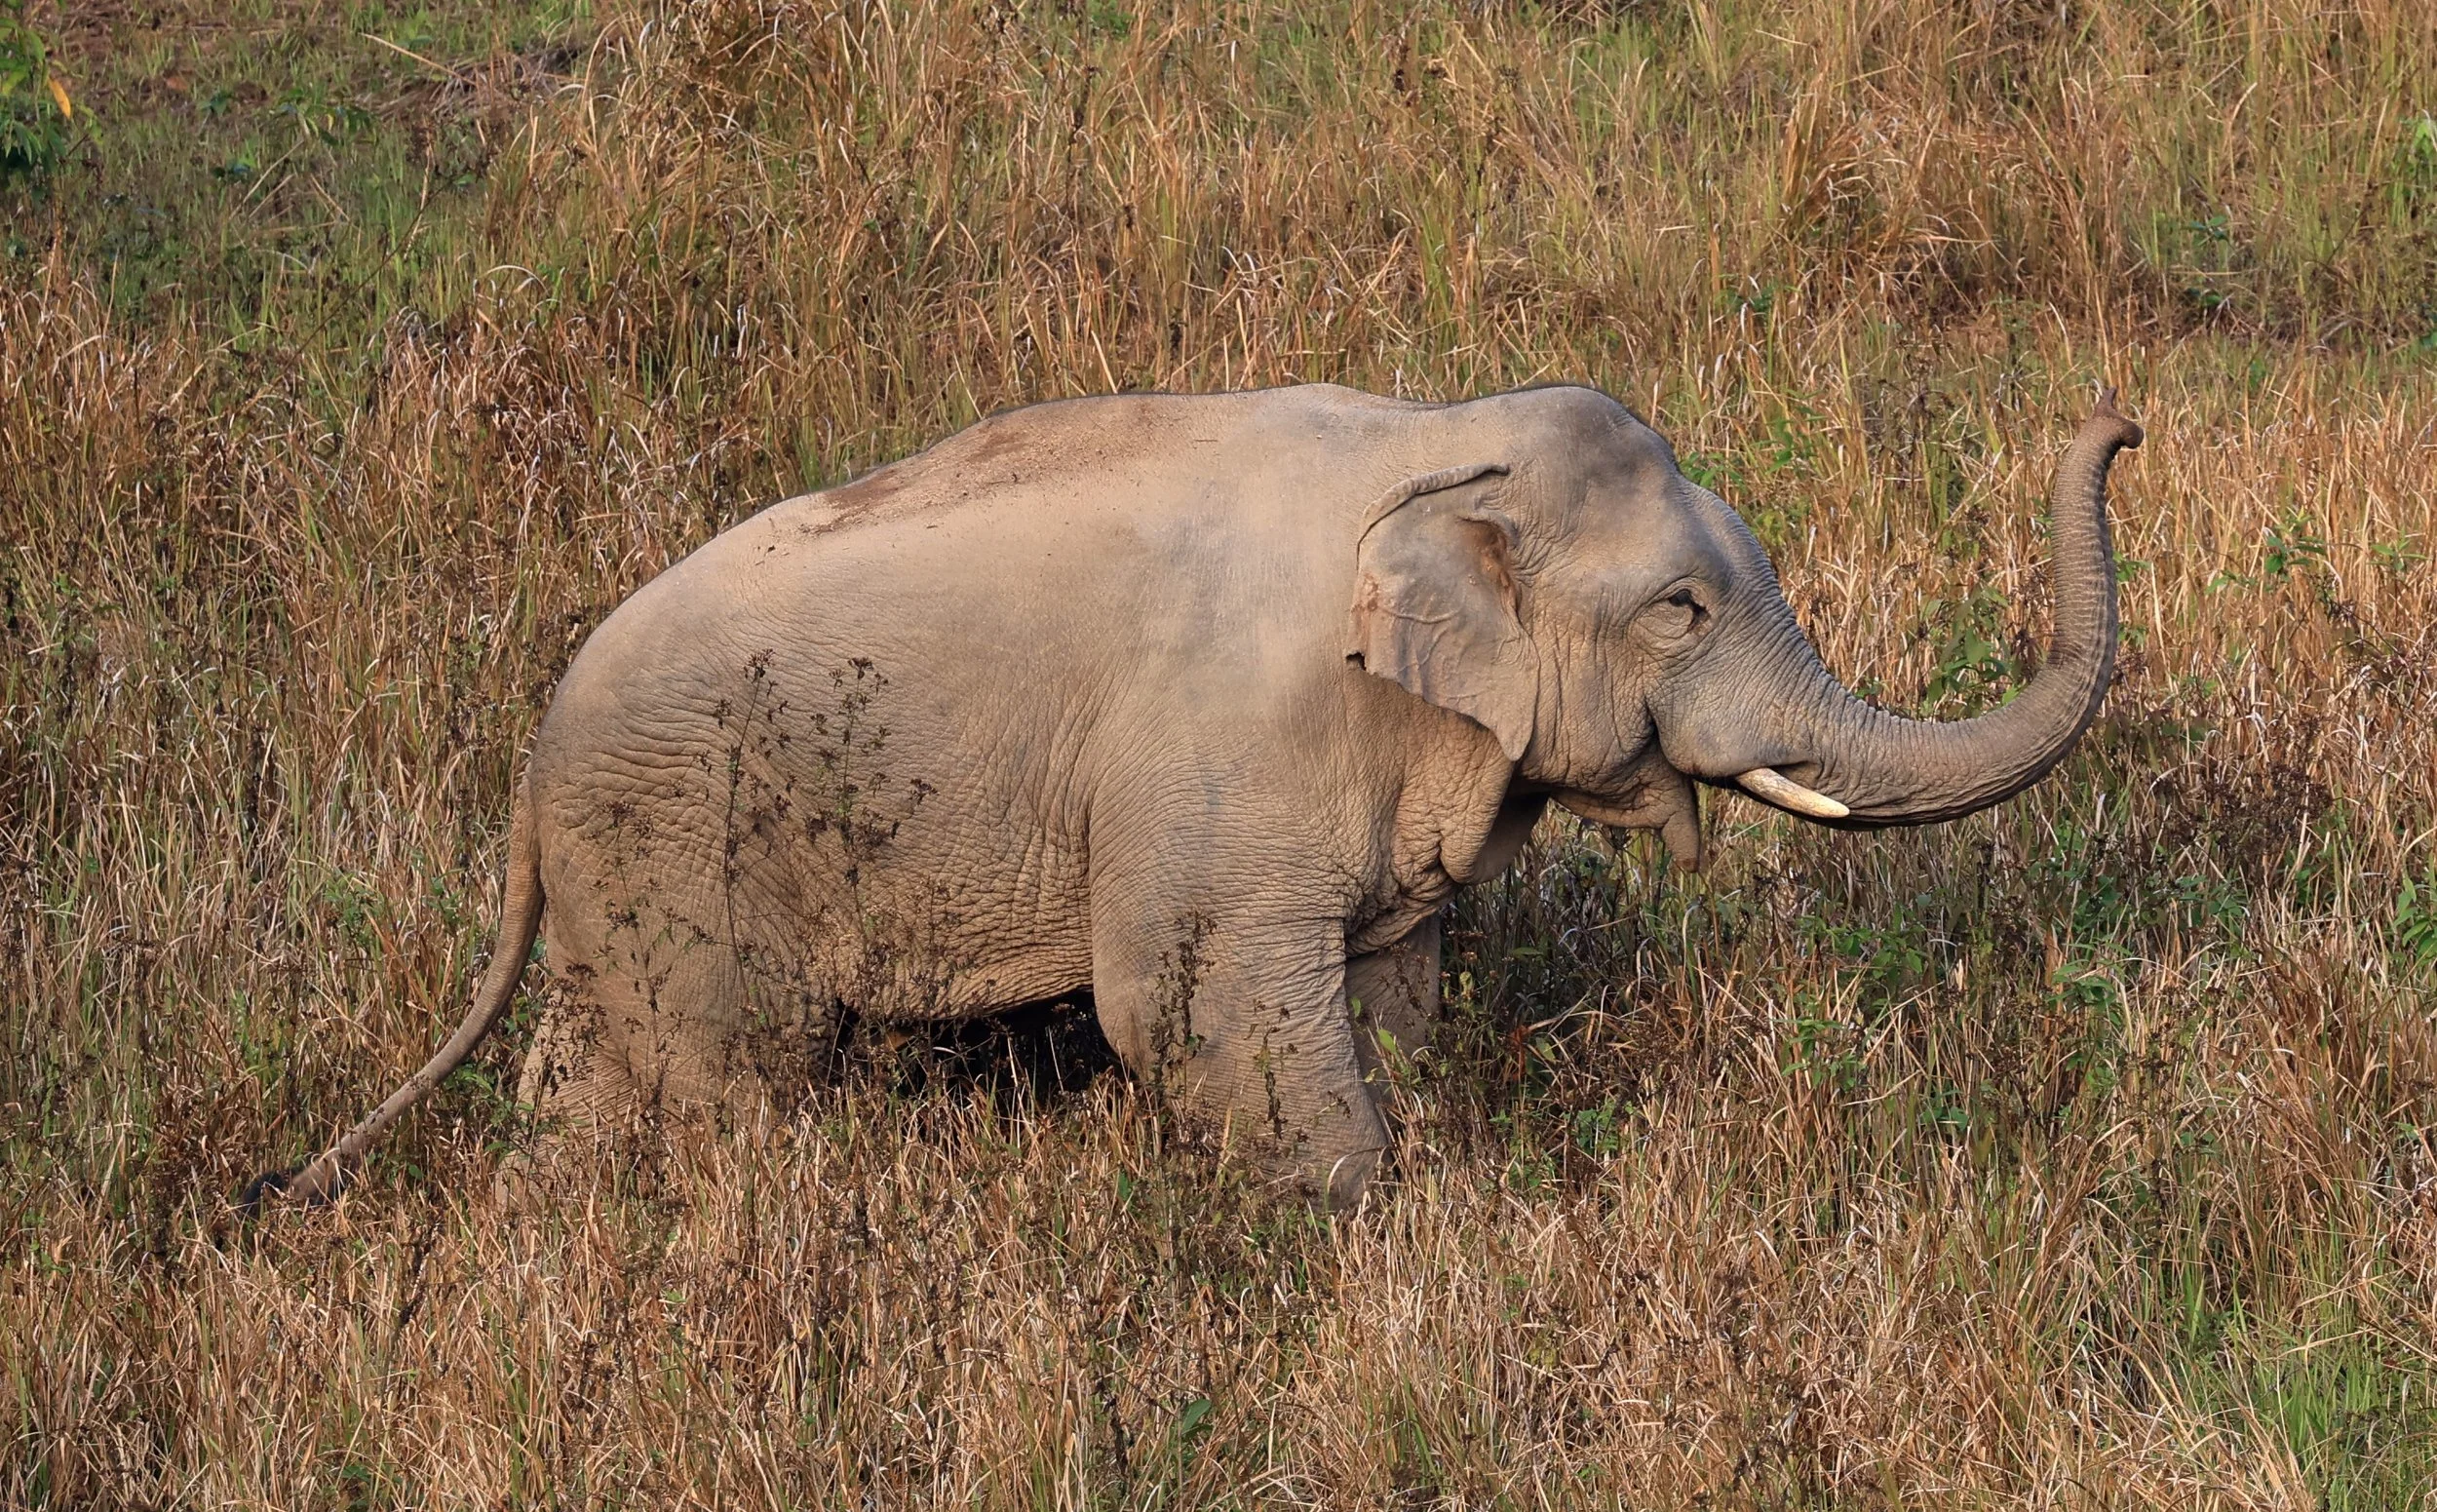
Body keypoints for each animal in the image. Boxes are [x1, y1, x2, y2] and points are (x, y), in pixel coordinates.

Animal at [257, 382, 2140, 1211]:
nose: (2120, 423)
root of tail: (529, 763)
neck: (1433, 442)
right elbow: (1192, 1005)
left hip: (625, 879)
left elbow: (1392, 987)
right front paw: (1364, 1230)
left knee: (593, 1081)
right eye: (1680, 607)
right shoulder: (1231, 755)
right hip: (687, 848)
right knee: (730, 1083)